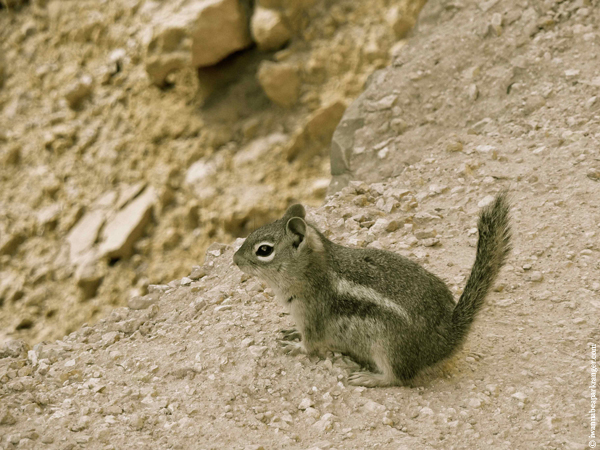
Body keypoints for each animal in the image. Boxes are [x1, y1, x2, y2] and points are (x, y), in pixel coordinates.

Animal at [231, 190, 510, 386]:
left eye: (264, 250)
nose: (234, 259)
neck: (312, 270)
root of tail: (448, 337)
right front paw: (291, 332)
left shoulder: (312, 315)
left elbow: (310, 345)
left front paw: (296, 347)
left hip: (389, 349)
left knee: (399, 378)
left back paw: (370, 378)